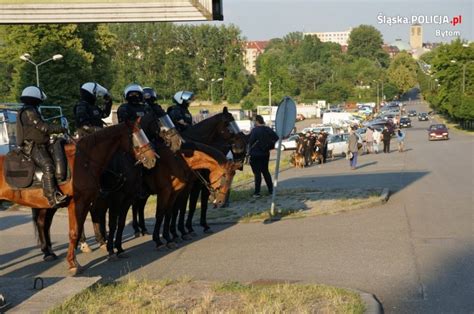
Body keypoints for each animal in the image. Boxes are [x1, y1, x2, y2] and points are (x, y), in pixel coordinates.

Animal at [1, 121, 157, 274]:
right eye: (134, 135)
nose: (153, 159)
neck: (85, 160)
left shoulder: (94, 202)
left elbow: (87, 225)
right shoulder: (82, 203)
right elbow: (75, 231)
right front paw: (73, 263)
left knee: (42, 223)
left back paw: (49, 253)